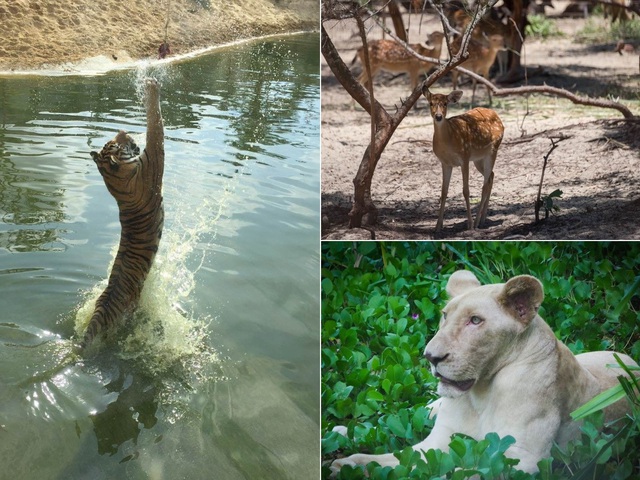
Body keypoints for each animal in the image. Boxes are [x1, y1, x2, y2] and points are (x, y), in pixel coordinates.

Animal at [81, 77, 165, 350]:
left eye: (112, 143)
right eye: (120, 144)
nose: (123, 131)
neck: (112, 177)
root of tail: (101, 311)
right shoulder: (153, 161)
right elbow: (156, 127)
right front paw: (151, 86)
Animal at [424, 89, 504, 233]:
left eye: (445, 103)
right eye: (431, 103)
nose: (438, 116)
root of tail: (497, 116)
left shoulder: (464, 157)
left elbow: (466, 190)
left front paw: (470, 224)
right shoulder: (445, 163)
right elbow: (443, 192)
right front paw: (438, 226)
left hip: (493, 150)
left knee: (485, 184)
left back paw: (477, 222)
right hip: (478, 158)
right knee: (491, 176)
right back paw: (483, 220)